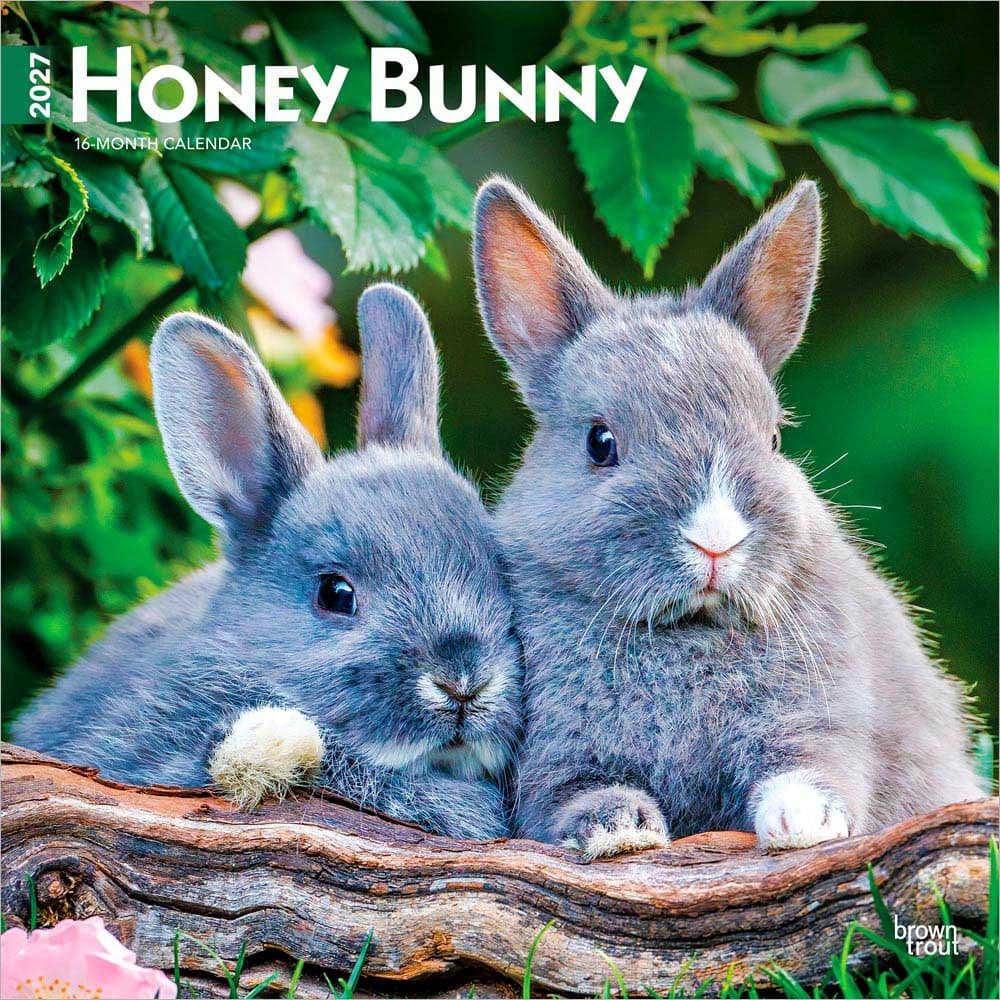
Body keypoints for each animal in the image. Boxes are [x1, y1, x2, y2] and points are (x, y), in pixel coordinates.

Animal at [471, 176, 985, 860]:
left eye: (774, 438)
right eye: (600, 443)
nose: (715, 543)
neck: (692, 629)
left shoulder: (818, 721)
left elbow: (811, 769)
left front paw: (805, 824)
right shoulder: (552, 760)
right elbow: (570, 798)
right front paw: (619, 832)